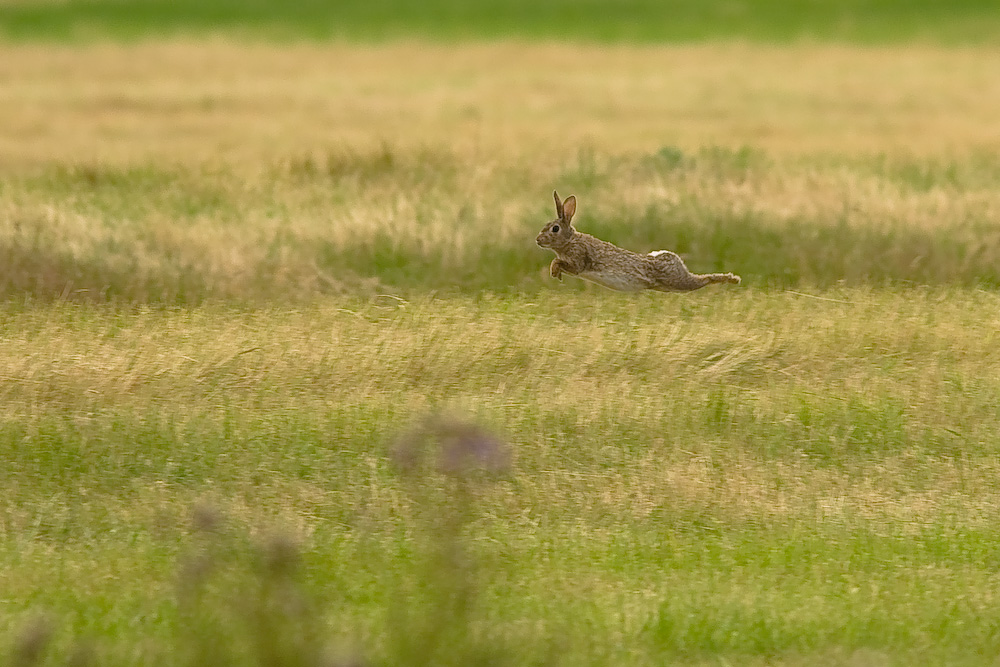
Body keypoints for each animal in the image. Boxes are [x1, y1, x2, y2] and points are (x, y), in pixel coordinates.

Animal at [536, 189, 740, 290]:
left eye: (555, 229)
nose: (538, 240)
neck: (570, 240)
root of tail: (673, 258)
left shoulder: (579, 260)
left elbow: (562, 263)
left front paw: (554, 270)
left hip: (677, 280)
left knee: (701, 280)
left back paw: (731, 279)